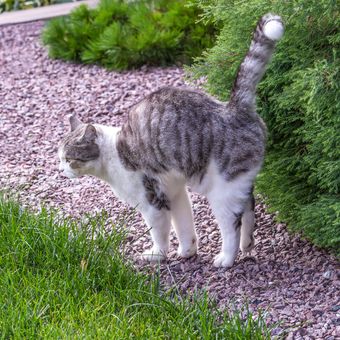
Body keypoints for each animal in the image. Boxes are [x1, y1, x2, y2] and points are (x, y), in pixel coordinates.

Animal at [58, 13, 284, 268]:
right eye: (59, 158)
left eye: (69, 159)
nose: (60, 170)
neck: (112, 153)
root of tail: (234, 109)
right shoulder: (175, 193)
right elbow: (184, 225)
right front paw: (188, 251)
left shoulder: (151, 202)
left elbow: (159, 232)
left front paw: (157, 254)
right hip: (239, 184)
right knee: (249, 208)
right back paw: (247, 245)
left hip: (222, 191)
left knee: (231, 226)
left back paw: (226, 258)